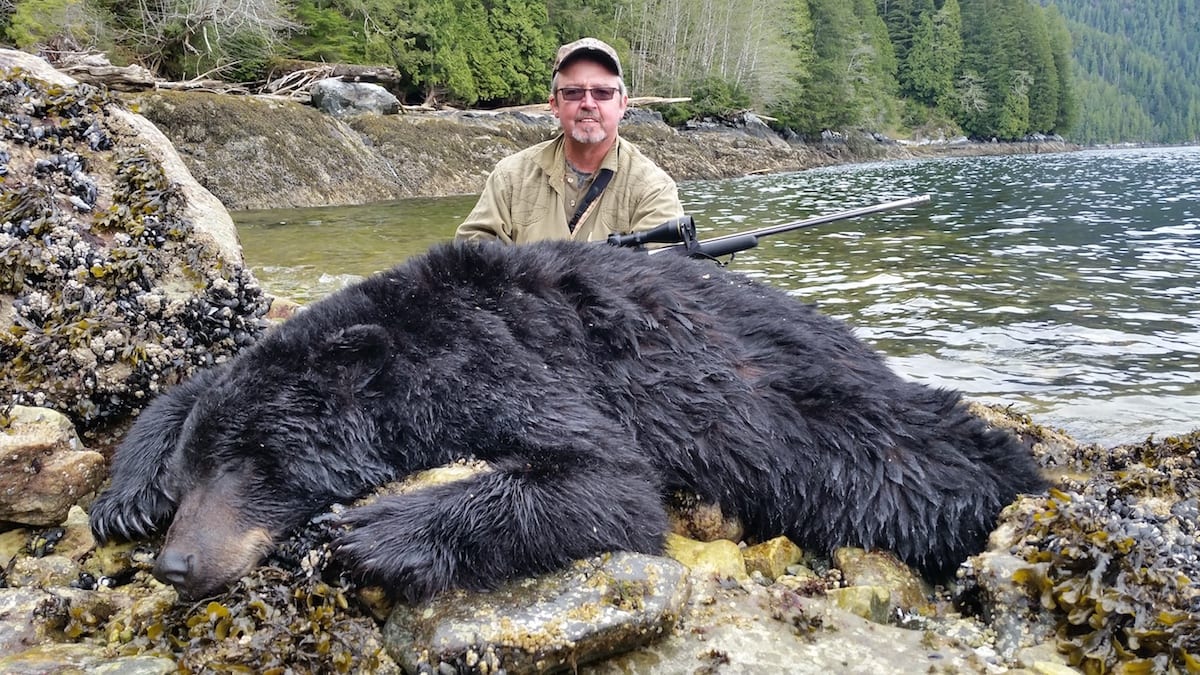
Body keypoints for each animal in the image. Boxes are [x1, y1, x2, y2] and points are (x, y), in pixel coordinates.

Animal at [88, 239, 1041, 595]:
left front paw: (371, 531)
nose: (175, 562)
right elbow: (188, 383)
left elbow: (606, 479)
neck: (413, 341)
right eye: (196, 470)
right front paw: (125, 494)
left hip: (821, 417)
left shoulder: (507, 365)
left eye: (259, 461)